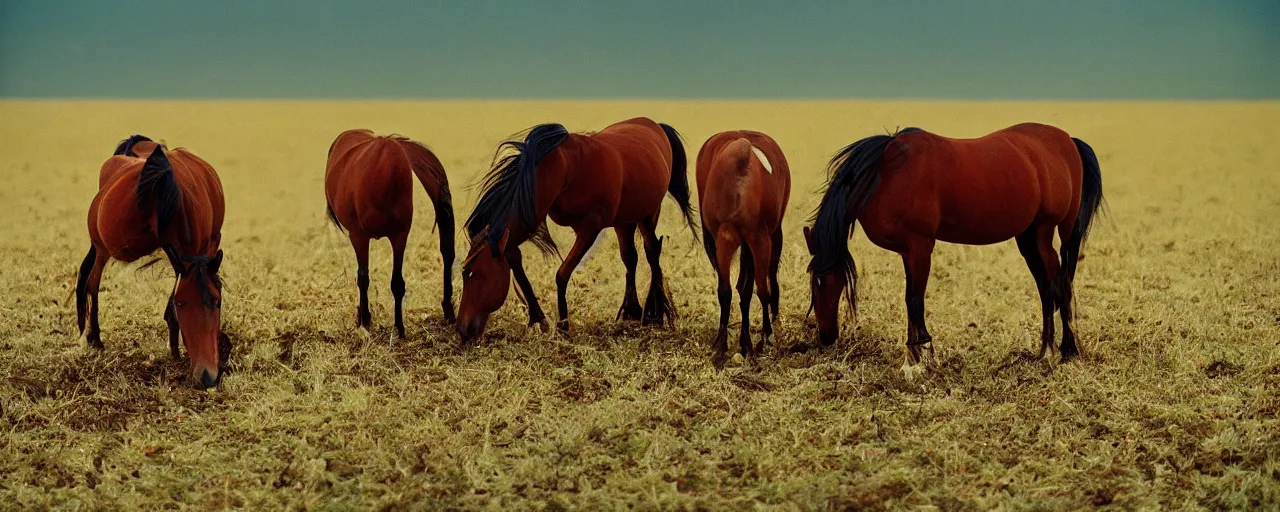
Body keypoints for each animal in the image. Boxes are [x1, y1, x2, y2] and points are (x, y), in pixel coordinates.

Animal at [75, 135, 230, 389]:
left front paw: (175, 346)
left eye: (217, 302)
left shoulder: (209, 244)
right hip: (101, 248)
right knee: (92, 283)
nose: (206, 375)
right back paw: (95, 338)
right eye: (181, 304)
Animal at [327, 128, 458, 337]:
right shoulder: (359, 237)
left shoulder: (399, 236)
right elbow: (363, 278)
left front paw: (399, 328)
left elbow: (397, 283)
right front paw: (365, 321)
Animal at [455, 117, 696, 343]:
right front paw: (539, 319)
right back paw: (632, 311)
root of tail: (653, 124)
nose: (462, 329)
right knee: (630, 257)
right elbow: (517, 265)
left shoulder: (590, 228)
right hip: (624, 221)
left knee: (652, 251)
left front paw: (563, 326)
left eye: (475, 273)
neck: (566, 170)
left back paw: (654, 315)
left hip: (648, 214)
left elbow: (562, 274)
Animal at [701, 129, 788, 366]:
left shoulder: (759, 240)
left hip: (767, 239)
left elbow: (757, 290)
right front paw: (723, 346)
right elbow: (727, 291)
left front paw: (755, 341)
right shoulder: (725, 240)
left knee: (763, 283)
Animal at [808, 122, 1100, 366]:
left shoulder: (919, 246)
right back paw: (1047, 350)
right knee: (1047, 288)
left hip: (1049, 230)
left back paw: (1060, 350)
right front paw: (913, 358)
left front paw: (920, 360)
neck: (886, 174)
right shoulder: (906, 251)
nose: (826, 336)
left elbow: (914, 300)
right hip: (1028, 237)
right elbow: (909, 300)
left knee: (1059, 284)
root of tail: (1067, 140)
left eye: (821, 282)